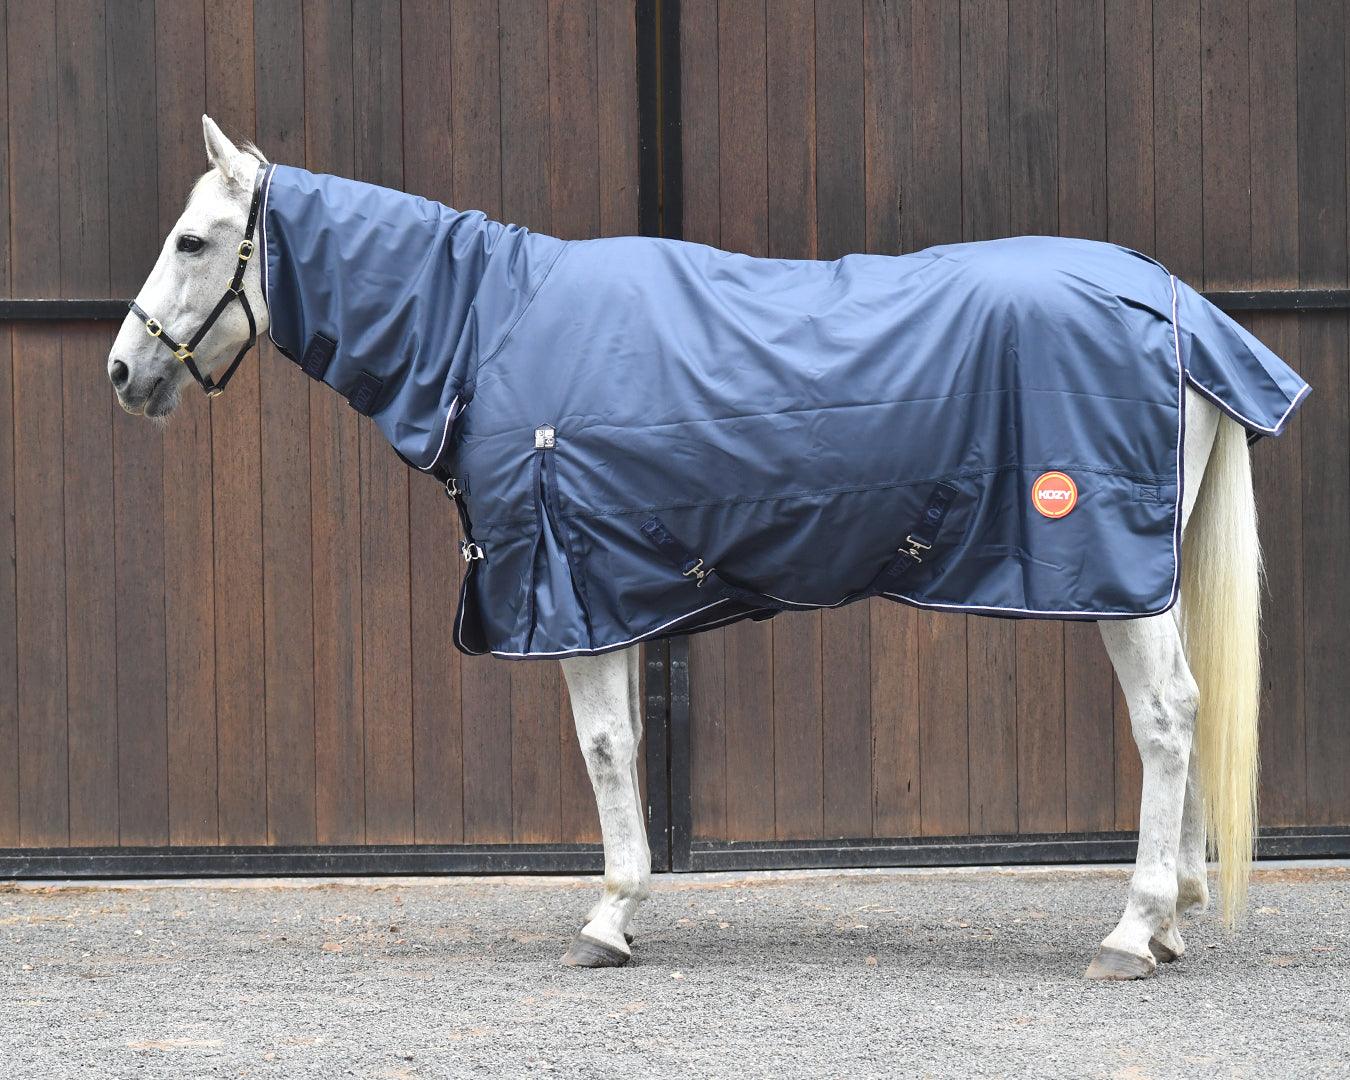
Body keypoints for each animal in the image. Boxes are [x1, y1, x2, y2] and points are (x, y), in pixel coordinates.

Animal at [107, 115, 1304, 980]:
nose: (124, 372)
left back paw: (1132, 931)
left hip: (1114, 577)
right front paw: (625, 909)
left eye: (192, 242)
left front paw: (607, 918)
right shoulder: (618, 592)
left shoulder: (572, 589)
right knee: (1187, 716)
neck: (493, 325)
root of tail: (1177, 305)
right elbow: (629, 745)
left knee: (1167, 720)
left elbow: (601, 751)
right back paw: (1173, 922)